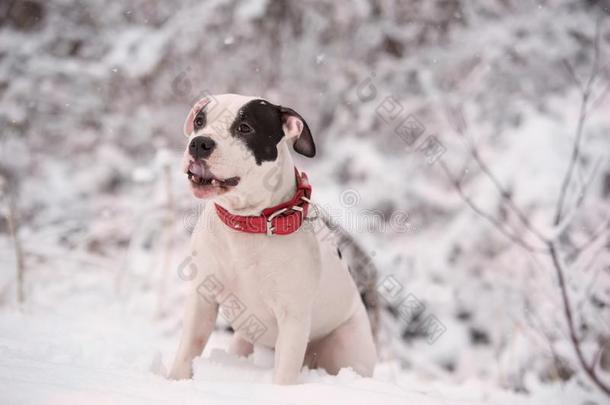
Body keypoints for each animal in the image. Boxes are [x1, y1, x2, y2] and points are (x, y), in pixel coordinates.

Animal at [167, 93, 376, 384]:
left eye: (245, 128)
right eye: (200, 121)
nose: (199, 143)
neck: (246, 224)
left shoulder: (293, 317)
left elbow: (284, 373)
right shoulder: (203, 298)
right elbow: (188, 348)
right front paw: (175, 381)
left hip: (346, 346)